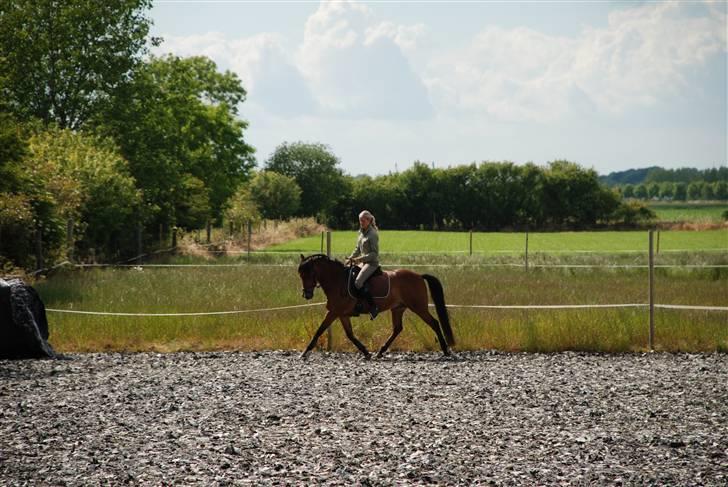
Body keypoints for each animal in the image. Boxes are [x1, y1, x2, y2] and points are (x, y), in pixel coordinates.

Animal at [298, 254, 456, 360]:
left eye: (308, 274)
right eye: (301, 275)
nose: (307, 295)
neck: (337, 281)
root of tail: (418, 276)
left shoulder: (333, 312)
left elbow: (319, 331)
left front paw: (305, 352)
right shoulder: (341, 314)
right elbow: (350, 334)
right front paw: (366, 352)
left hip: (418, 307)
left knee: (434, 323)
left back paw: (445, 350)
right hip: (398, 308)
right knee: (397, 329)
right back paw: (380, 351)